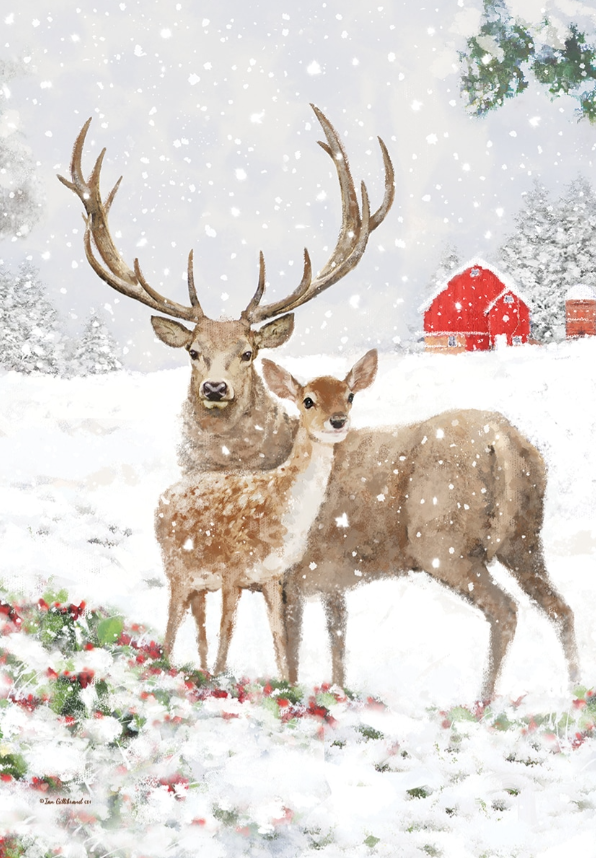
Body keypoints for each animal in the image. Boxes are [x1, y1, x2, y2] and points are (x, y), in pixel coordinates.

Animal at [155, 350, 377, 677]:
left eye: (349, 396)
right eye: (308, 400)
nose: (338, 421)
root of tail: (162, 498)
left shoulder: (272, 576)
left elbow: (279, 634)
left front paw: (287, 682)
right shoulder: (232, 569)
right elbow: (228, 628)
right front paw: (220, 676)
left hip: (200, 580)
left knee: (197, 619)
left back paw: (198, 669)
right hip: (176, 568)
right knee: (172, 620)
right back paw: (167, 664)